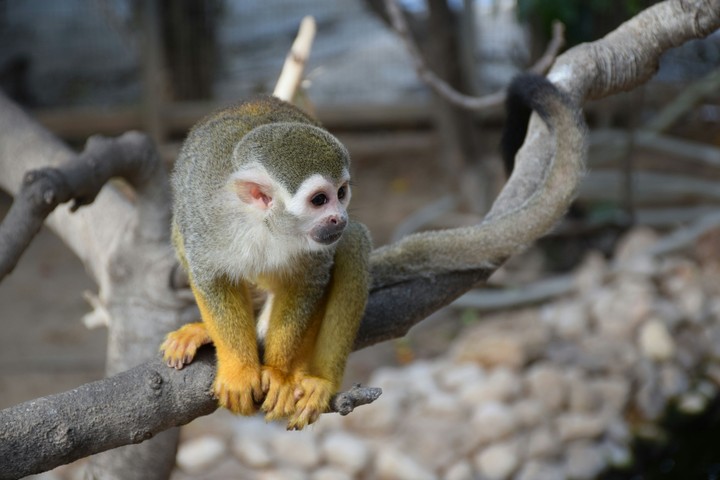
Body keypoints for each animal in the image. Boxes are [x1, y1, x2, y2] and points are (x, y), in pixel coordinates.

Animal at [160, 96, 372, 430]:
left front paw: (281, 373)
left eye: (341, 192)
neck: (263, 224)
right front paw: (239, 371)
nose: (340, 217)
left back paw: (318, 380)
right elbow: (211, 278)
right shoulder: (205, 219)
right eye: (320, 200)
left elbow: (308, 282)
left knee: (352, 242)